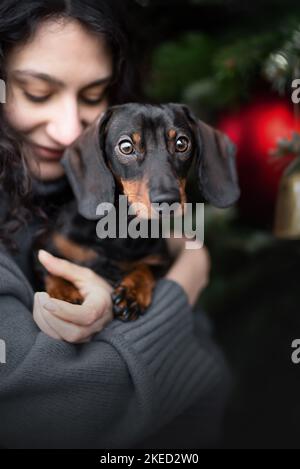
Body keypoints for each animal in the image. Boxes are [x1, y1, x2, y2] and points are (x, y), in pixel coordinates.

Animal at [37, 103, 239, 320]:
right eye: (126, 147)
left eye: (182, 143)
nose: (168, 201)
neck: (120, 227)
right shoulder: (45, 248)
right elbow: (51, 269)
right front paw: (64, 294)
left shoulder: (159, 260)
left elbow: (145, 268)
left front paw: (132, 292)